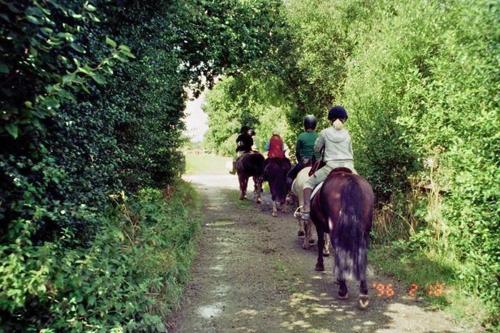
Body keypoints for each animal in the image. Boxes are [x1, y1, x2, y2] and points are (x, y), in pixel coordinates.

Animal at [310, 167, 374, 308]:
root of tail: (350, 182)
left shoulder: (319, 226)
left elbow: (320, 243)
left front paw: (319, 265)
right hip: (365, 232)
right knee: (362, 254)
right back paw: (363, 294)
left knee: (339, 251)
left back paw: (343, 289)